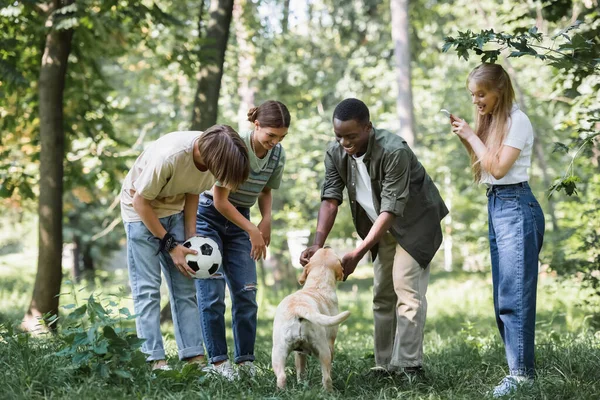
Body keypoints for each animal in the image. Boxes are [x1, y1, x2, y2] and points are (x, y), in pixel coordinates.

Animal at [270, 247, 350, 390]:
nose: (326, 246)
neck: (317, 285)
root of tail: (299, 307)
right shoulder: (330, 343)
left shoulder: (299, 353)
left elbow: (300, 370)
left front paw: (301, 383)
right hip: (323, 350)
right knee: (327, 377)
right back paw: (329, 391)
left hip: (277, 352)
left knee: (282, 377)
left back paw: (282, 391)